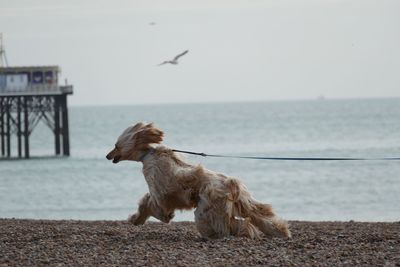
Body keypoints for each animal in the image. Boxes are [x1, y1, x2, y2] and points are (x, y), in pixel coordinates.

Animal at [104, 122, 290, 240]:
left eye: (116, 146)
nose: (107, 156)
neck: (147, 154)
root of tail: (231, 184)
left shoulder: (159, 194)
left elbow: (152, 204)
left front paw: (137, 218)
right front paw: (136, 219)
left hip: (208, 208)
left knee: (230, 226)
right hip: (243, 201)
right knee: (259, 214)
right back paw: (281, 232)